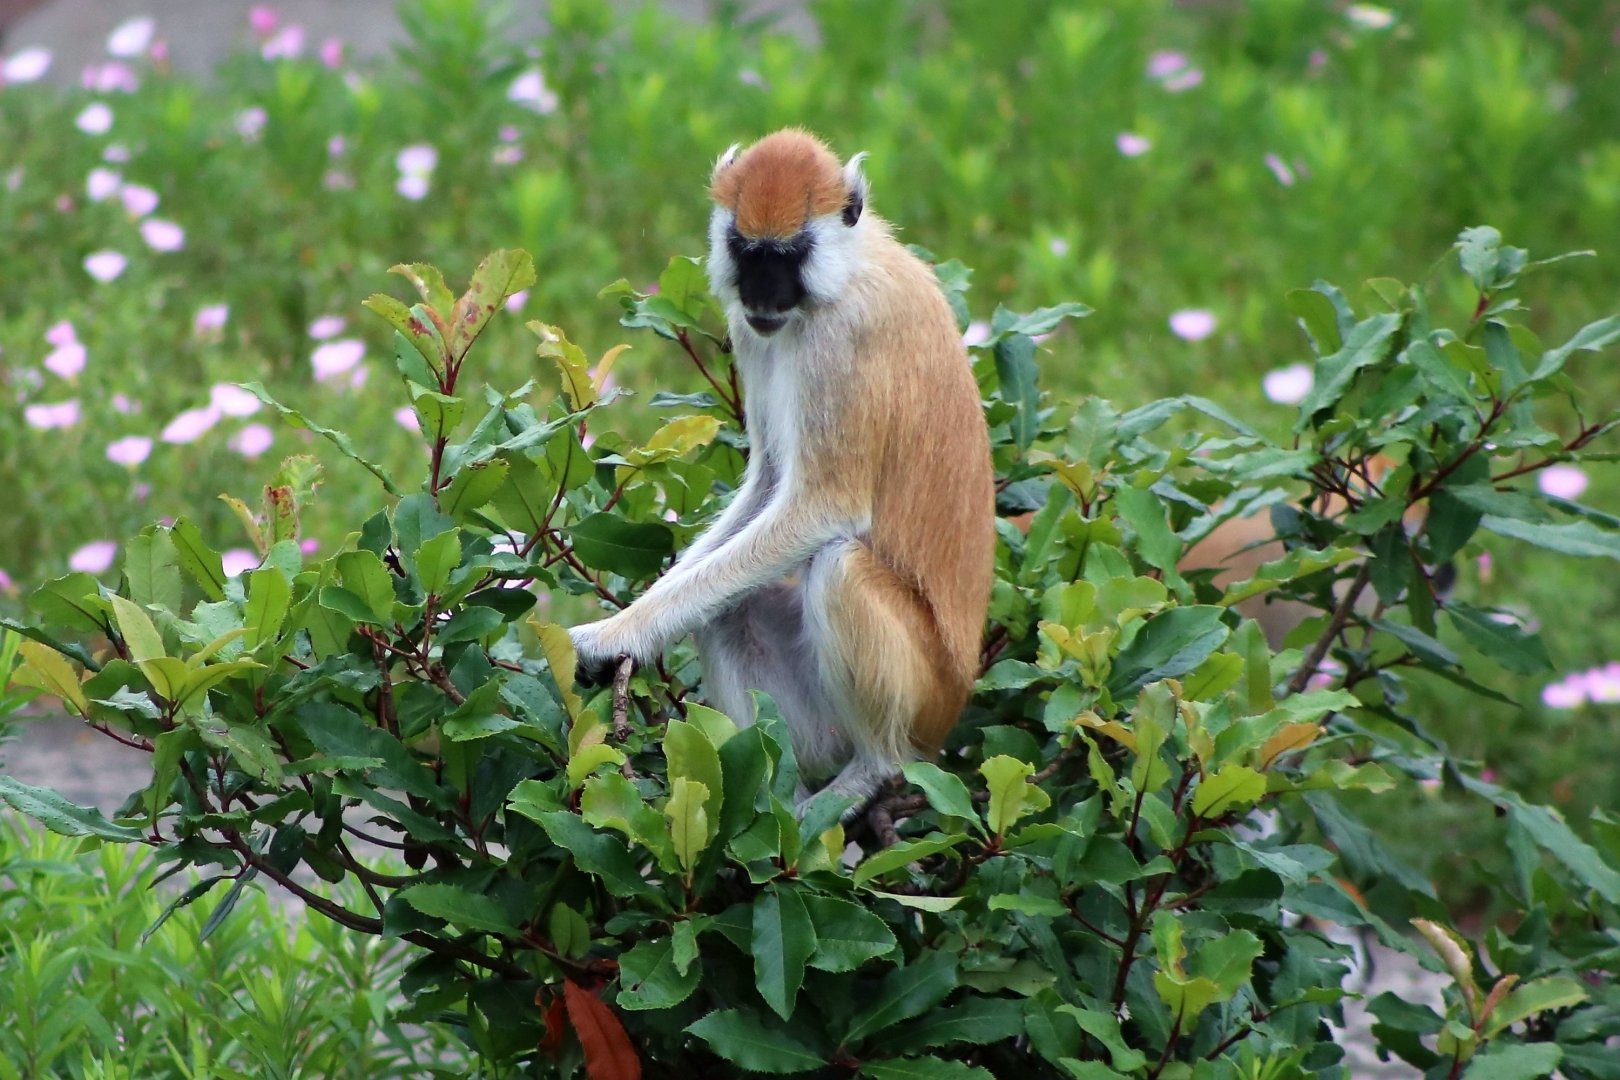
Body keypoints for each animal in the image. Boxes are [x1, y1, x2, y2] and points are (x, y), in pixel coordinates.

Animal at [569, 128, 996, 814]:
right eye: (747, 252)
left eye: (788, 255)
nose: (762, 296)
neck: (849, 267)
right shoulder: (753, 332)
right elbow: (767, 484)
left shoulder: (841, 343)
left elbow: (821, 508)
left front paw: (615, 635)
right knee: (727, 611)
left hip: (924, 695)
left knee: (839, 566)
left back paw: (870, 772)